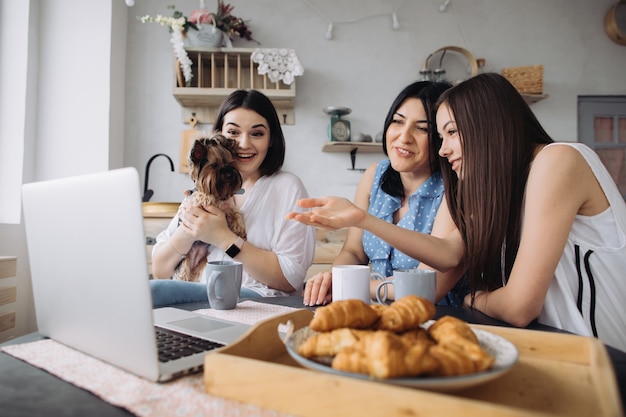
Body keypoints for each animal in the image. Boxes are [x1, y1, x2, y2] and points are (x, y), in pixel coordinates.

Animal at [176, 135, 246, 282]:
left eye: (231, 164)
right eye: (214, 165)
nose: (230, 174)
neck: (217, 193)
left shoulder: (226, 206)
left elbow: (235, 211)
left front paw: (240, 228)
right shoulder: (197, 201)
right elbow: (204, 196)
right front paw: (208, 197)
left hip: (202, 262)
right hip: (184, 262)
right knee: (183, 274)